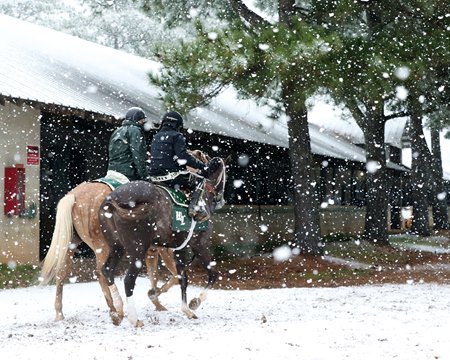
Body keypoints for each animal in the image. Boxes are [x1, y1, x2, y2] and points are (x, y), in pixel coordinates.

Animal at [98, 156, 225, 328]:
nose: (221, 199)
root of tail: (113, 200)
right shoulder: (200, 245)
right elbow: (213, 274)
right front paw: (195, 303)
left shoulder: (180, 250)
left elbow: (183, 278)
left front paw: (186, 309)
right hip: (138, 251)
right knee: (129, 280)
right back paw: (134, 319)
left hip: (117, 248)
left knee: (107, 270)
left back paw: (118, 311)